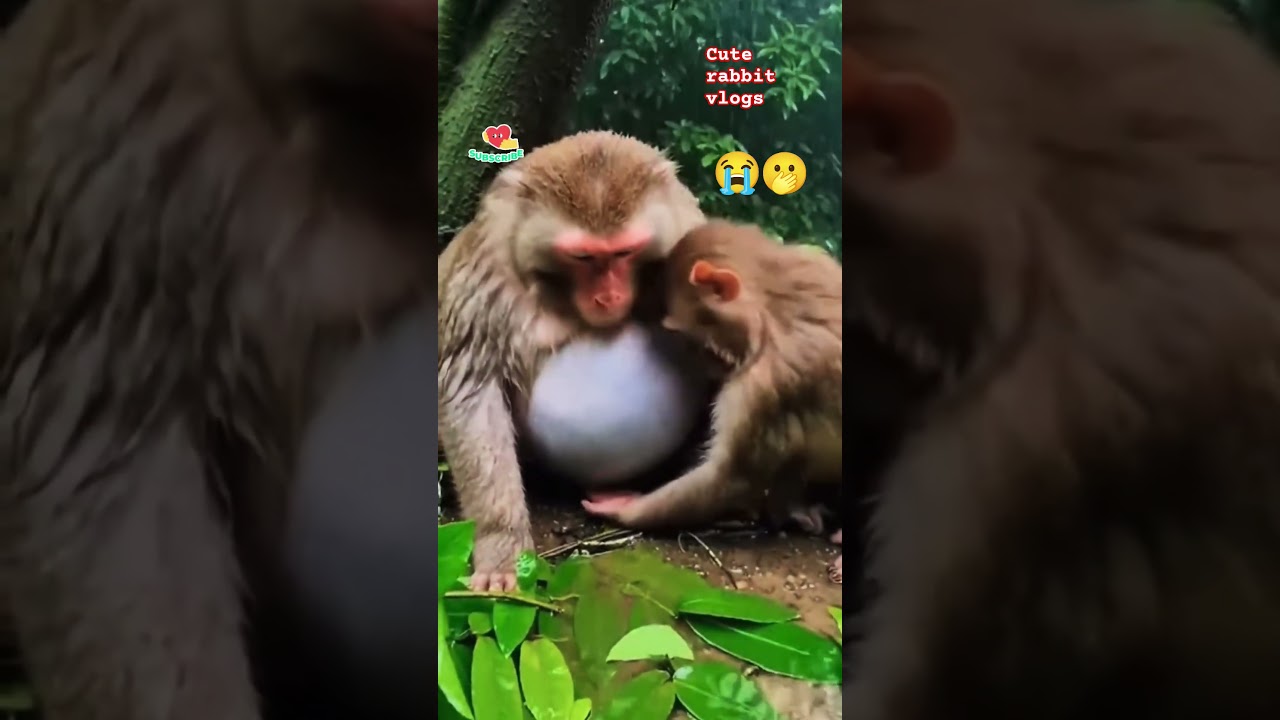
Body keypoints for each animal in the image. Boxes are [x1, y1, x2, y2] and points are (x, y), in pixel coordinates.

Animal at [437, 130, 707, 592]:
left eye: (625, 252)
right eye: (583, 257)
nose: (608, 296)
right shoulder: (488, 272)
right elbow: (471, 389)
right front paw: (500, 541)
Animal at [581, 220, 844, 581]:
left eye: (688, 334)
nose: (706, 368)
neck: (773, 306)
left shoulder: (763, 386)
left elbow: (731, 478)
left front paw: (626, 507)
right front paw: (794, 508)